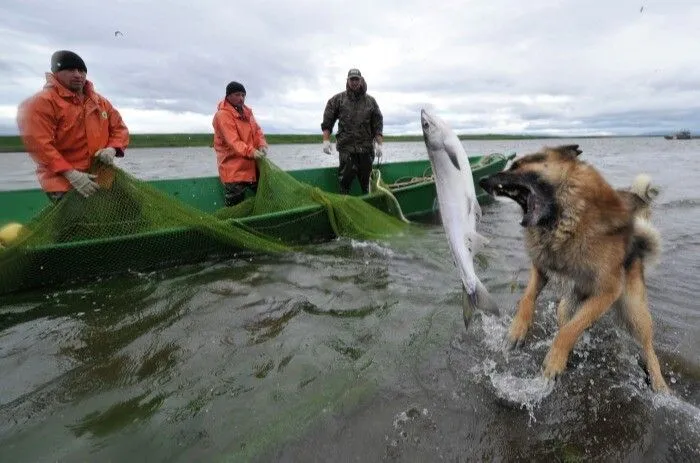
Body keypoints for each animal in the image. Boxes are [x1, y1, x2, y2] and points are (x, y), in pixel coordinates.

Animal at [482, 145, 668, 392]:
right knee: (571, 322)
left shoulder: (608, 291)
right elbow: (528, 299)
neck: (567, 217)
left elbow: (569, 331)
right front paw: (517, 330)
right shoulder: (541, 269)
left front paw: (554, 361)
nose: (481, 180)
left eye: (516, 166)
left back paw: (659, 384)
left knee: (648, 347)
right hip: (566, 306)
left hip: (634, 311)